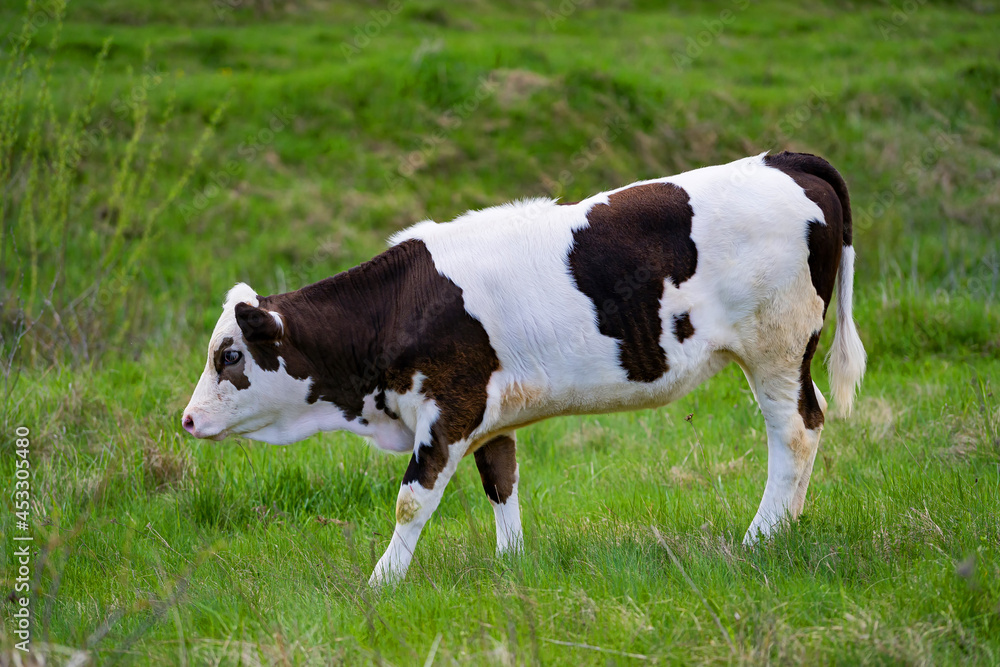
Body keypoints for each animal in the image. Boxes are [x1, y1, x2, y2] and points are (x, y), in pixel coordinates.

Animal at [182, 150, 868, 584]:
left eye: (229, 354)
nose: (186, 420)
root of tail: (783, 159)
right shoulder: (490, 414)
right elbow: (501, 482)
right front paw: (511, 565)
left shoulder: (448, 408)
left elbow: (411, 502)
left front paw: (380, 583)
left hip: (777, 347)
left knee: (797, 430)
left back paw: (761, 538)